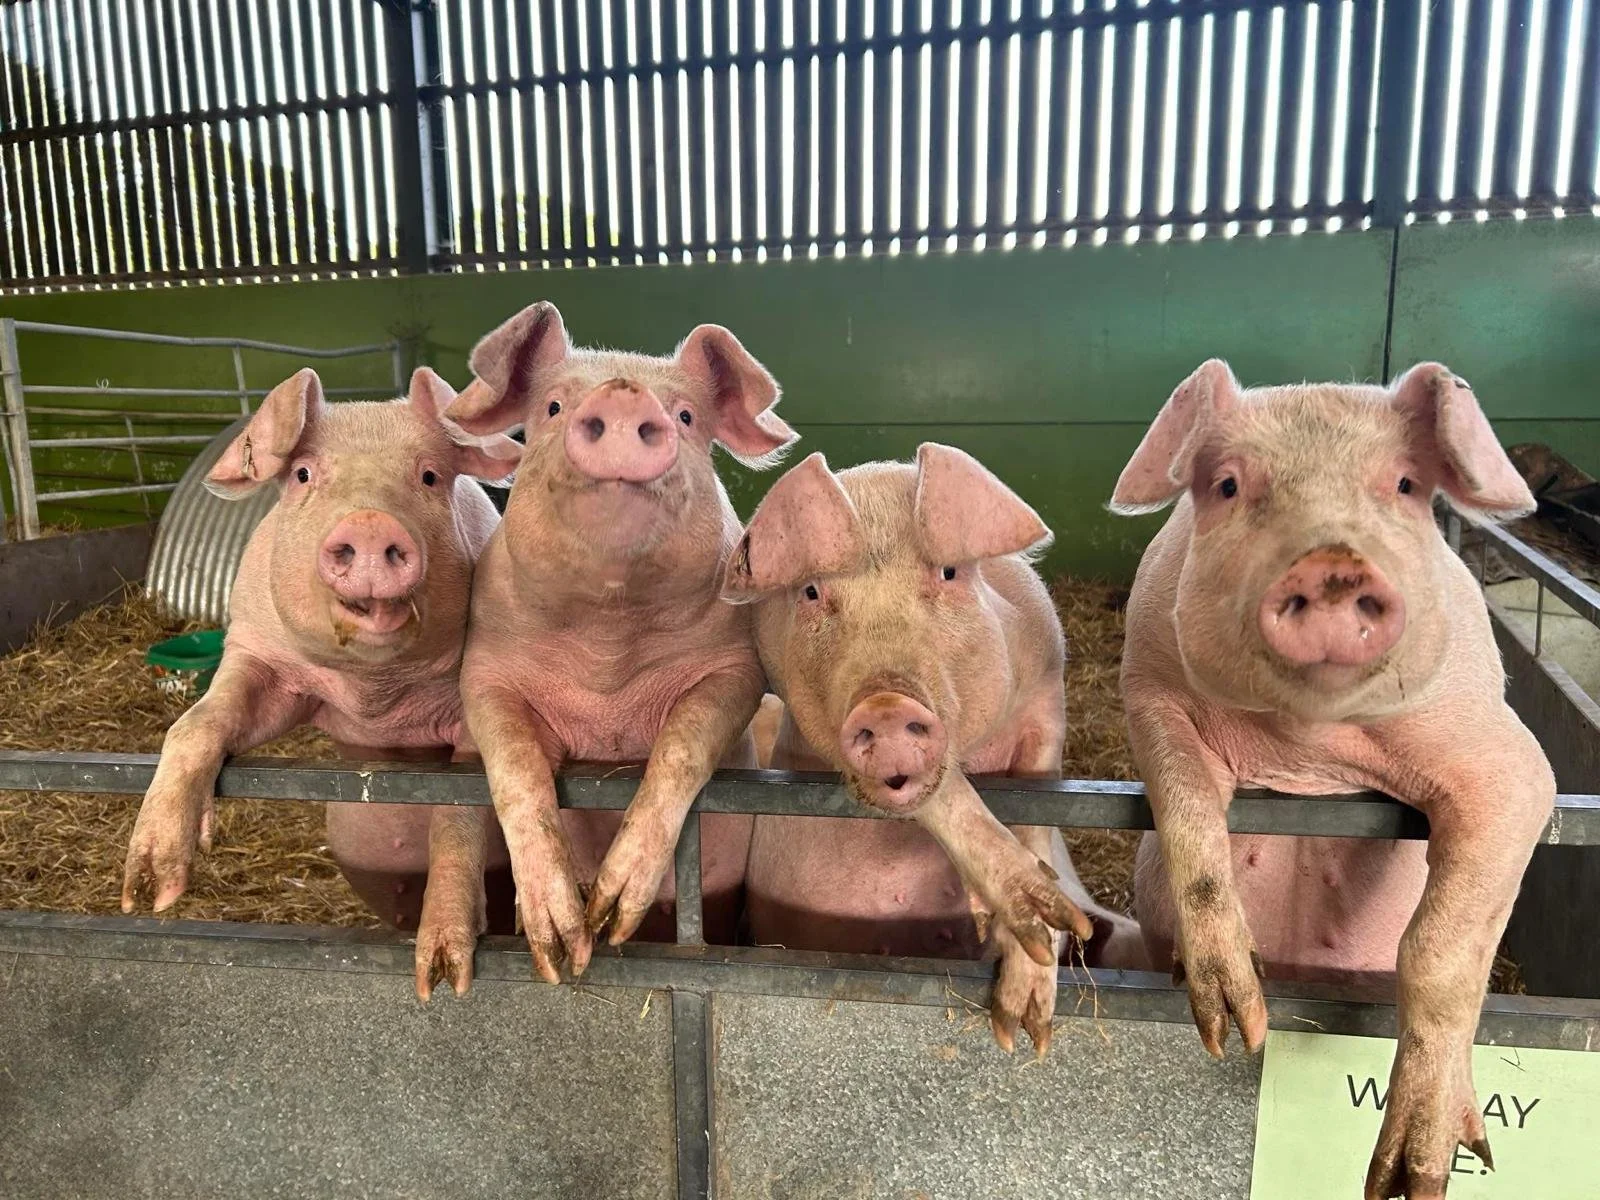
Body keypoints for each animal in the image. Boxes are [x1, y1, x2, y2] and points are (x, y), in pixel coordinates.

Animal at [120, 367, 524, 1001]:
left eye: (429, 476)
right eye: (304, 474)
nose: (369, 523)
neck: (375, 695)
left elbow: (456, 813)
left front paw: (441, 976)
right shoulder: (258, 655)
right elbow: (198, 722)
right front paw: (149, 895)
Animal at [441, 301, 790, 982]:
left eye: (686, 416)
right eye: (552, 407)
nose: (624, 394)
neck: (608, 637)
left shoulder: (737, 667)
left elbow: (683, 743)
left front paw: (611, 920)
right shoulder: (484, 669)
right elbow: (515, 767)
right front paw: (561, 954)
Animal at [722, 446, 1142, 1055]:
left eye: (948, 572)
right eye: (812, 592)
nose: (886, 704)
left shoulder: (1047, 691)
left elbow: (1041, 802)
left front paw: (1027, 1024)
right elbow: (945, 799)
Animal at [1110, 360, 1554, 1199]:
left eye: (1407, 484)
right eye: (1227, 485)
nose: (1332, 565)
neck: (1306, 749)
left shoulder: (1508, 763)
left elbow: (1440, 950)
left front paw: (1415, 1178)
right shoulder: (1149, 692)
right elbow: (1189, 820)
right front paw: (1236, 1026)